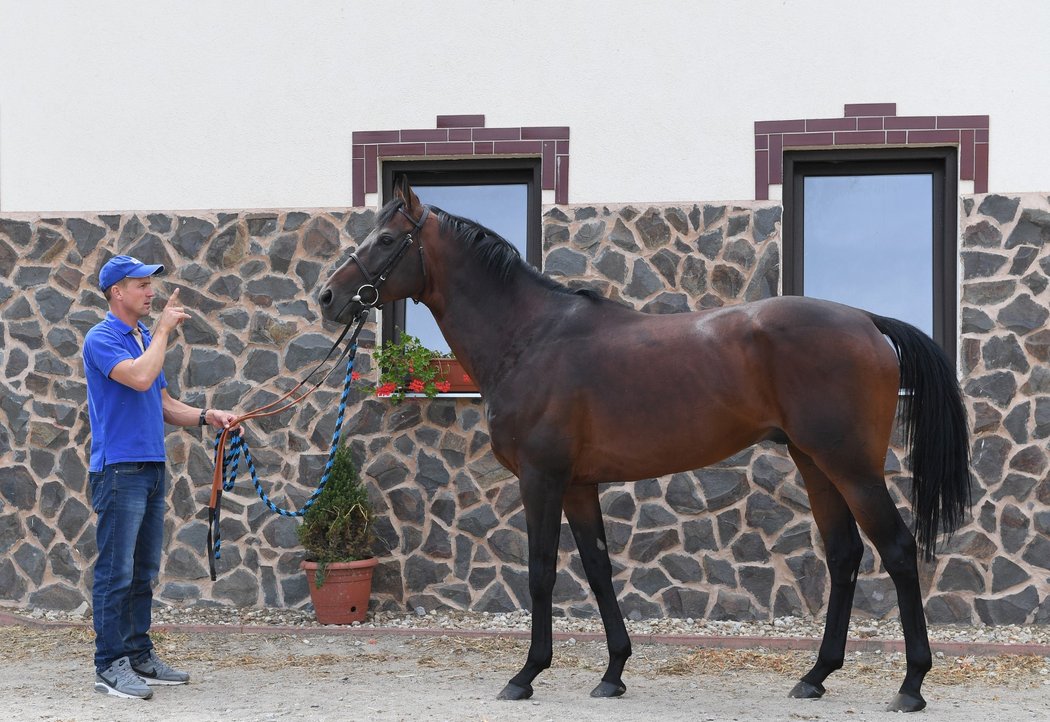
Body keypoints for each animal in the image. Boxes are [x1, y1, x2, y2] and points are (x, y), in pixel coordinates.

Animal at [317, 177, 965, 713]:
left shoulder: (542, 478)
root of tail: (867, 320)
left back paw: (911, 685)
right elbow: (599, 569)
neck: (530, 337)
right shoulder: (579, 485)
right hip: (815, 463)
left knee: (898, 550)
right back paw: (815, 676)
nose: (327, 297)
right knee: (844, 555)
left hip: (851, 467)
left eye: (385, 239)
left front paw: (526, 675)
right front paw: (612, 673)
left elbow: (542, 571)